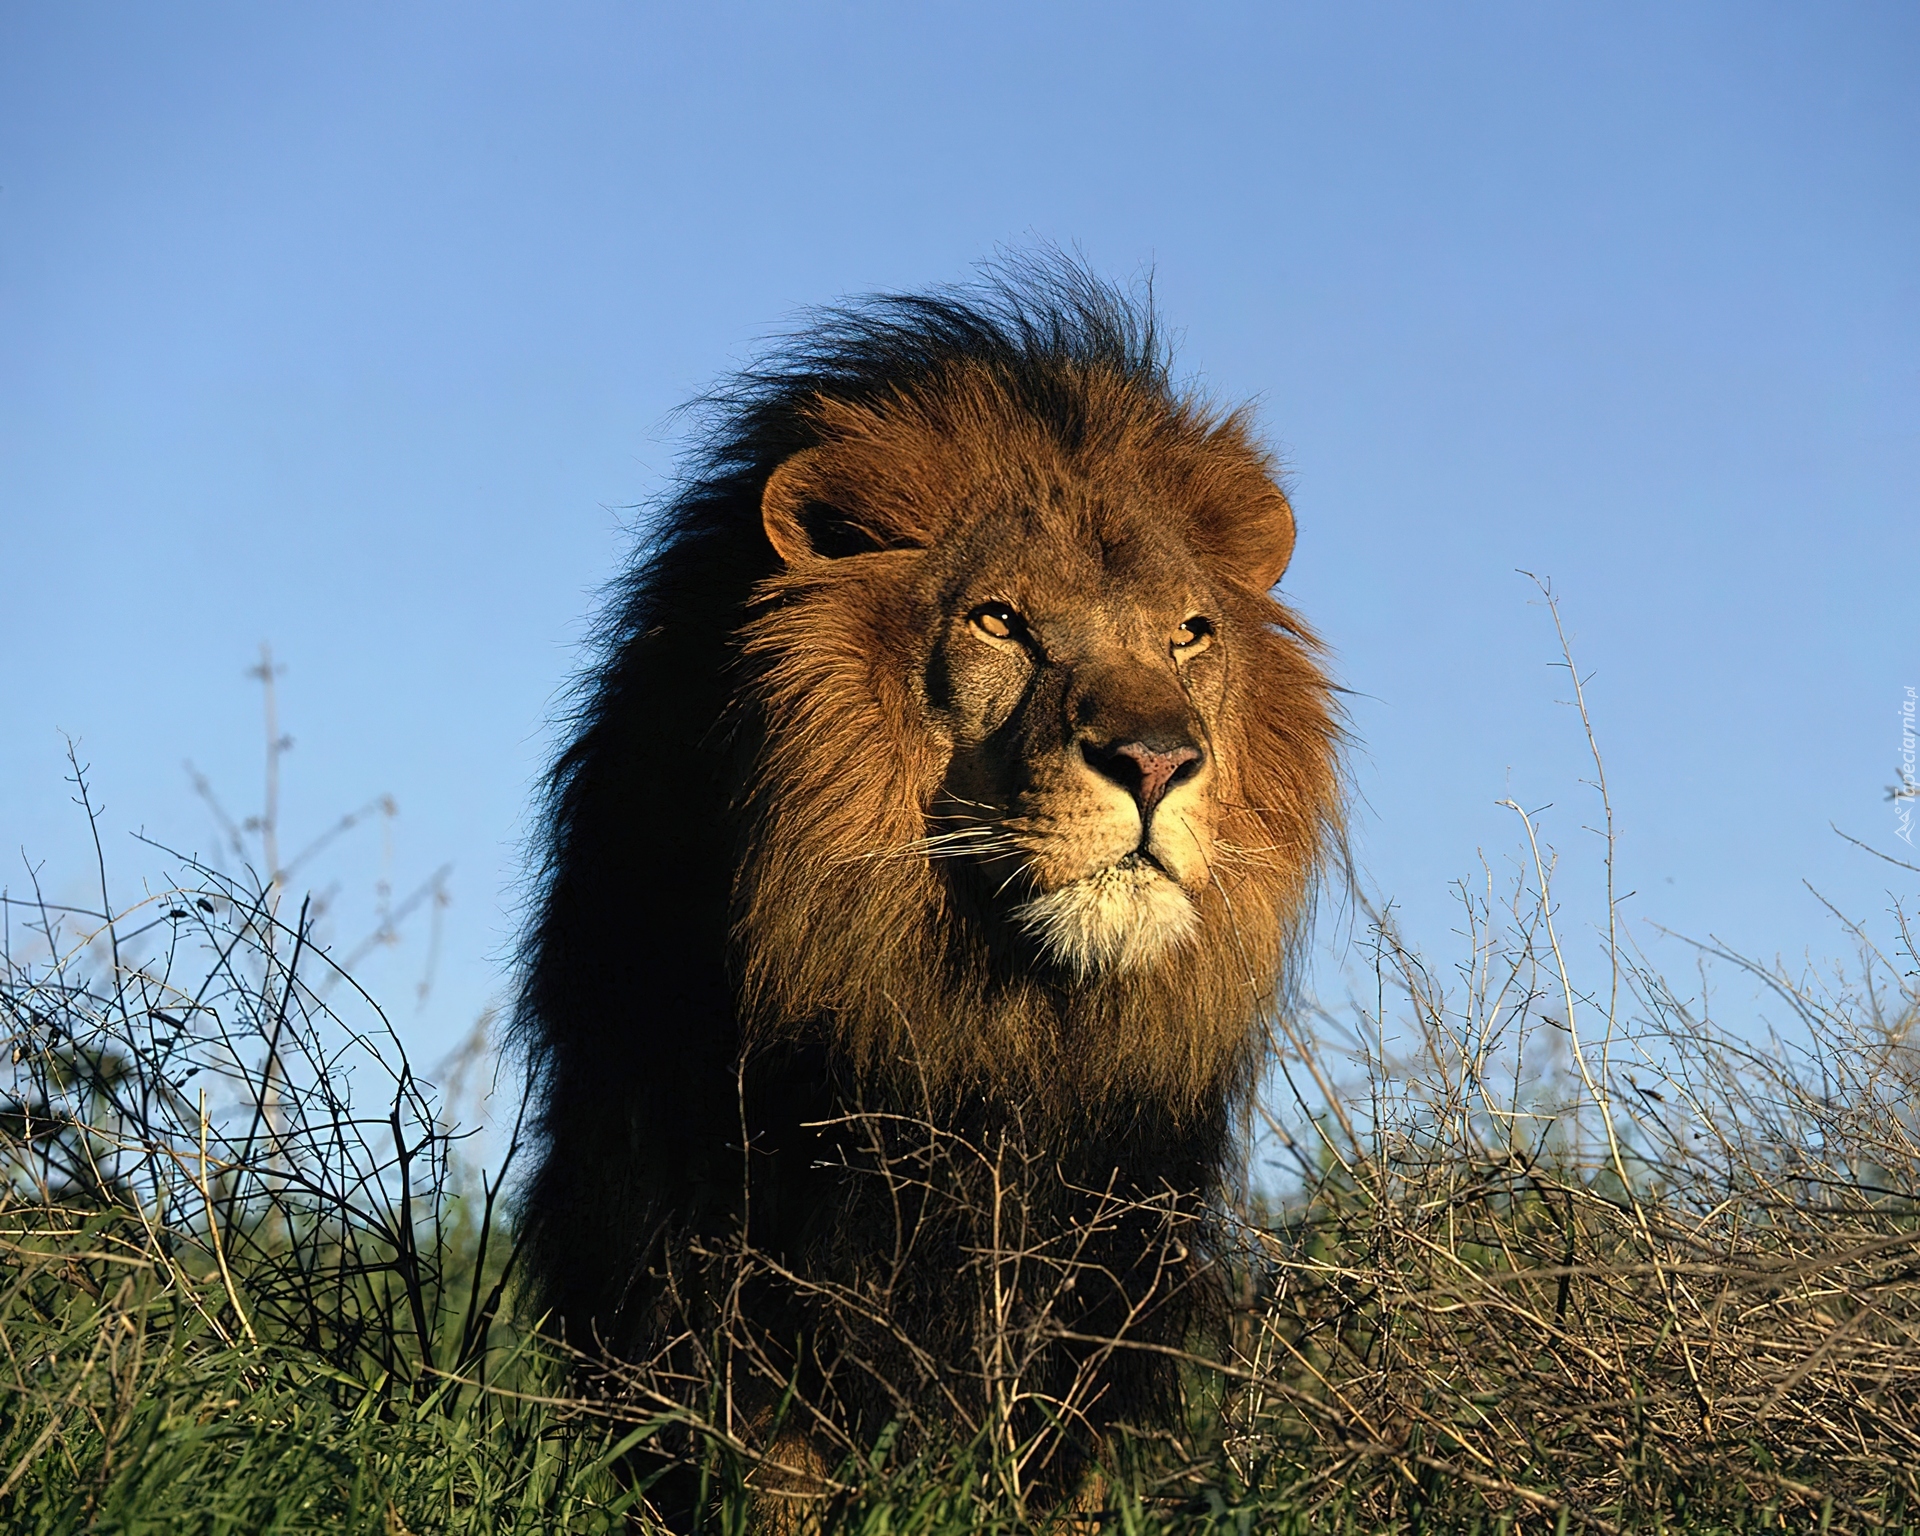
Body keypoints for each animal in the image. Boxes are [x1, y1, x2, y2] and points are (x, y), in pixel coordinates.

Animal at [518, 264, 1344, 1520]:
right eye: (1001, 620)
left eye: (1190, 635)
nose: (1157, 761)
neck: (988, 1013)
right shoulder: (734, 1236)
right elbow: (774, 1464)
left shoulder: (1109, 1258)